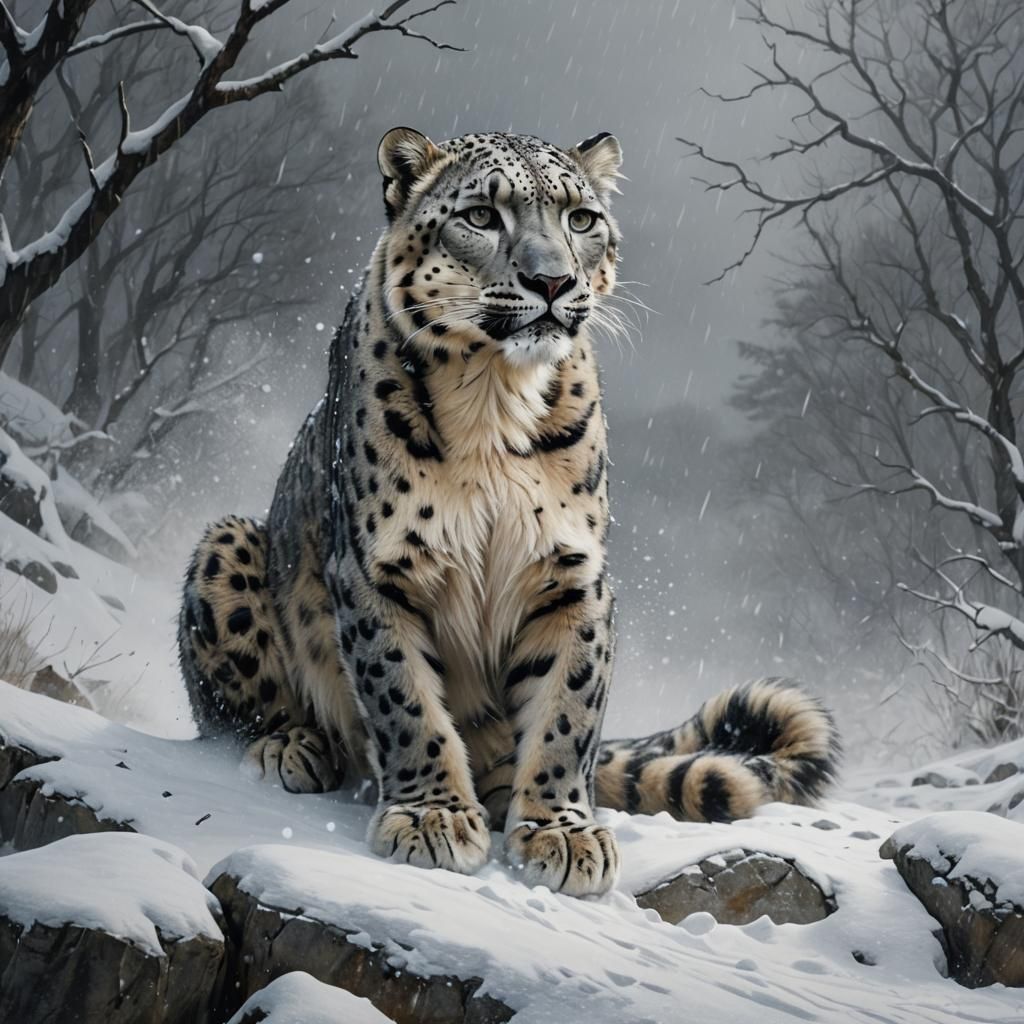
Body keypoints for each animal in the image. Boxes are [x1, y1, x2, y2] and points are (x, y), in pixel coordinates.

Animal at [178, 127, 840, 897]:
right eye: (480, 216)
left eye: (580, 218)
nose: (552, 282)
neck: (494, 395)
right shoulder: (379, 571)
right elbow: (404, 698)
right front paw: (432, 817)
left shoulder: (571, 576)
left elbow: (566, 711)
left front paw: (561, 832)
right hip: (228, 543)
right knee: (234, 708)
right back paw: (291, 746)